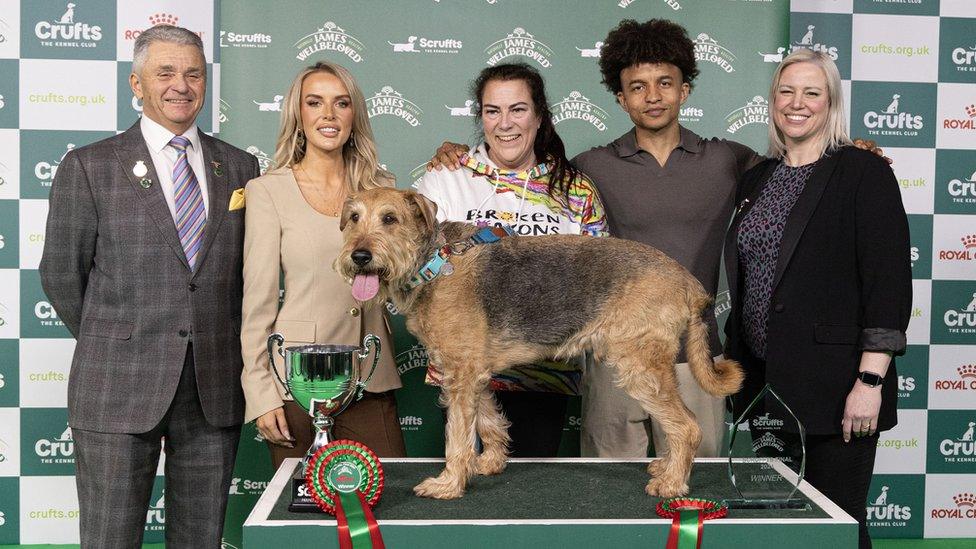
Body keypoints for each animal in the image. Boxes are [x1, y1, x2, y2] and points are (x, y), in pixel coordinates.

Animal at [336, 188, 740, 500]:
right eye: (353, 218)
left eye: (390, 218)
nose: (359, 256)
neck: (435, 263)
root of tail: (687, 280)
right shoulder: (471, 373)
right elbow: (488, 422)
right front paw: (489, 463)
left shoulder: (461, 374)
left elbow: (457, 438)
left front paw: (448, 484)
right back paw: (666, 469)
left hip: (640, 366)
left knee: (686, 426)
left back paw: (672, 484)